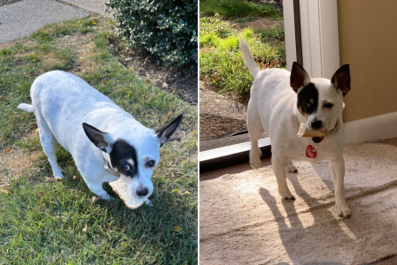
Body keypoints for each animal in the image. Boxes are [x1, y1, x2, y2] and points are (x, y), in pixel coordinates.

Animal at [17, 70, 181, 208]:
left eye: (151, 163)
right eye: (124, 166)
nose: (143, 191)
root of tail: (43, 75)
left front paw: (146, 201)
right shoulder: (92, 183)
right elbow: (103, 193)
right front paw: (112, 200)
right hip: (46, 134)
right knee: (51, 157)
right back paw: (57, 173)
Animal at [240, 38, 352, 217]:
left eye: (328, 105)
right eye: (306, 104)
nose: (315, 123)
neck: (310, 137)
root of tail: (261, 73)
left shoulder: (337, 161)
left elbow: (339, 186)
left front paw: (342, 206)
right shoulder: (277, 157)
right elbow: (280, 179)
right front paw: (285, 193)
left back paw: (289, 164)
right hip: (255, 122)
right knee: (254, 139)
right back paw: (255, 158)